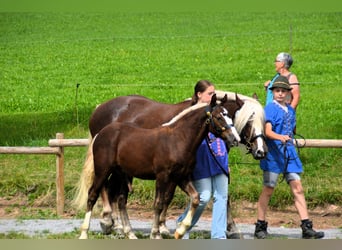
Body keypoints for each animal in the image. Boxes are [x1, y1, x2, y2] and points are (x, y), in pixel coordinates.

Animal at [75, 90, 268, 238]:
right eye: (249, 121)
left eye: (231, 119)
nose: (261, 151)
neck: (179, 138)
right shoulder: (163, 176)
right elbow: (160, 202)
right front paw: (158, 232)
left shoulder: (182, 177)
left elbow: (193, 198)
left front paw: (178, 229)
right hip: (103, 170)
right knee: (95, 193)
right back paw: (94, 229)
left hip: (122, 173)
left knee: (119, 197)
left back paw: (123, 229)